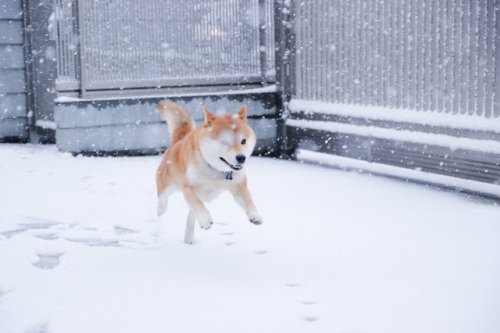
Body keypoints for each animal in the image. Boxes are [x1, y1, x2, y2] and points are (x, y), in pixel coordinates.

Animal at [156, 100, 264, 243]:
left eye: (243, 141)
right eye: (225, 142)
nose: (241, 158)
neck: (215, 171)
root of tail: (178, 142)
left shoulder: (238, 185)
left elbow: (248, 200)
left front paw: (255, 215)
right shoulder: (188, 187)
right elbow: (198, 204)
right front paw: (206, 220)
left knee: (191, 215)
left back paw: (189, 238)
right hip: (167, 186)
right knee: (163, 200)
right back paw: (161, 212)